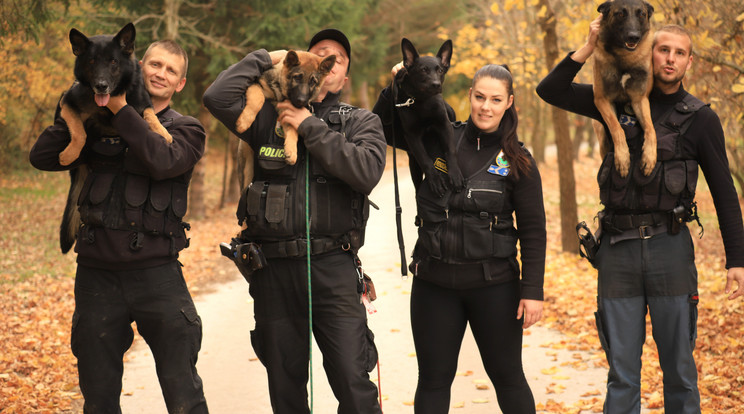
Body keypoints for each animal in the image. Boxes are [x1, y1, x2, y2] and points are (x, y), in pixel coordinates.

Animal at [235, 50, 334, 191]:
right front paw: (244, 122)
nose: (301, 102)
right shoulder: (256, 84)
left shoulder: (286, 111)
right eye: (297, 78)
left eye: (313, 82)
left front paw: (291, 150)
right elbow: (258, 99)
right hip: (246, 167)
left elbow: (292, 130)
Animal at [592, 0, 656, 176]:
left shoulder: (640, 99)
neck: (624, 56)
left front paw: (649, 157)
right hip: (601, 139)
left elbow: (650, 129)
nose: (633, 36)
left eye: (641, 14)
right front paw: (622, 158)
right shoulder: (601, 100)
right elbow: (617, 128)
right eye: (620, 14)